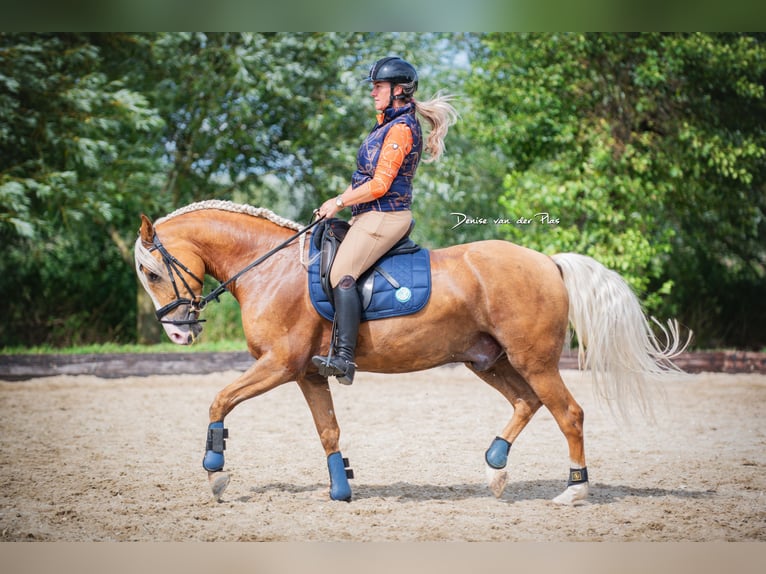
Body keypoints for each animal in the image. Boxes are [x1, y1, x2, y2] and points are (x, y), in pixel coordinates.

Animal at [134, 200, 688, 506]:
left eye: (153, 272)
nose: (179, 334)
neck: (270, 268)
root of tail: (546, 261)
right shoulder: (307, 374)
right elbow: (328, 430)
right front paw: (341, 489)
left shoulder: (278, 365)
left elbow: (220, 400)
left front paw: (215, 472)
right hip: (488, 360)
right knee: (526, 402)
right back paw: (495, 469)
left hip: (533, 361)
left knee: (568, 412)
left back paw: (574, 490)